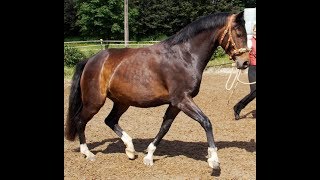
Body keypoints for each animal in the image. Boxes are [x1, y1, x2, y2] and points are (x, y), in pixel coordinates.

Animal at [64, 10, 250, 172]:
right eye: (238, 32)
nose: (245, 62)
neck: (185, 56)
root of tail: (91, 60)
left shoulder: (176, 104)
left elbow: (164, 127)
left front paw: (149, 156)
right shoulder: (182, 100)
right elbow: (206, 122)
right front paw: (214, 161)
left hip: (122, 102)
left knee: (110, 120)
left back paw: (130, 150)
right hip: (94, 101)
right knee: (80, 121)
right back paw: (88, 153)